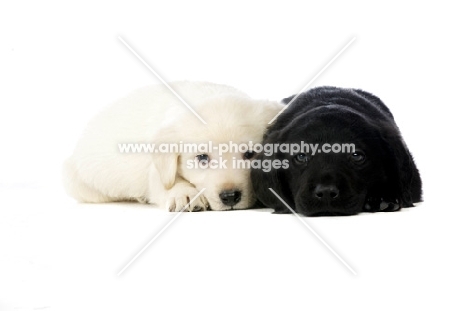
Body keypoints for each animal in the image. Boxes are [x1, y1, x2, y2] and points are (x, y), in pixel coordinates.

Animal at [61, 81, 282, 212]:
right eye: (202, 158)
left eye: (250, 154)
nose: (230, 197)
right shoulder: (155, 168)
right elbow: (166, 181)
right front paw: (185, 194)